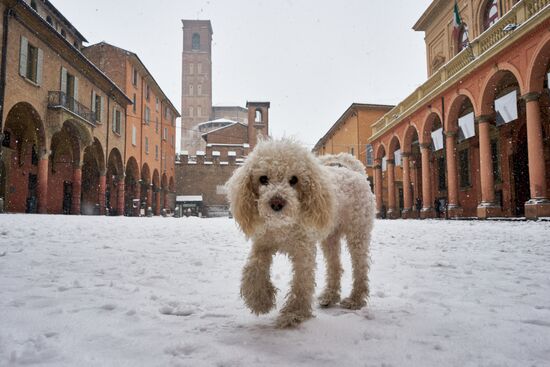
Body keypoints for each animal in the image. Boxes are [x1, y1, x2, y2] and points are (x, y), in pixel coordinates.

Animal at [226, 139, 378, 330]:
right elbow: (253, 269)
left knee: (360, 267)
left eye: (294, 180)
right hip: (330, 237)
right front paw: (260, 301)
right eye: (263, 179)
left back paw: (355, 299)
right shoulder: (262, 244)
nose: (277, 203)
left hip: (357, 232)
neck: (283, 225)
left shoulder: (303, 251)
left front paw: (294, 313)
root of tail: (356, 172)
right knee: (334, 266)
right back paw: (329, 296)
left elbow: (301, 281)